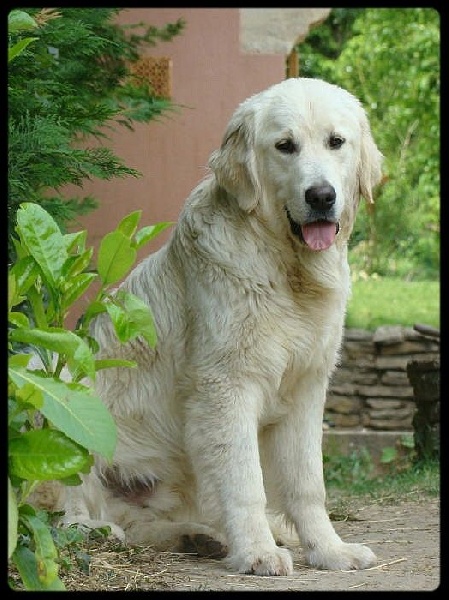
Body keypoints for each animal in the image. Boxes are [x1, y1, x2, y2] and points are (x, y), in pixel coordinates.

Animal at [40, 77, 382, 576]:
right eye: (285, 146)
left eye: (336, 142)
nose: (321, 196)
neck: (285, 269)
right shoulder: (225, 389)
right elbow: (245, 484)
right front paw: (258, 552)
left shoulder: (305, 389)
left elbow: (307, 485)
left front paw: (329, 550)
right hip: (52, 380)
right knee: (62, 514)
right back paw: (94, 530)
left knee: (143, 523)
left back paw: (198, 536)